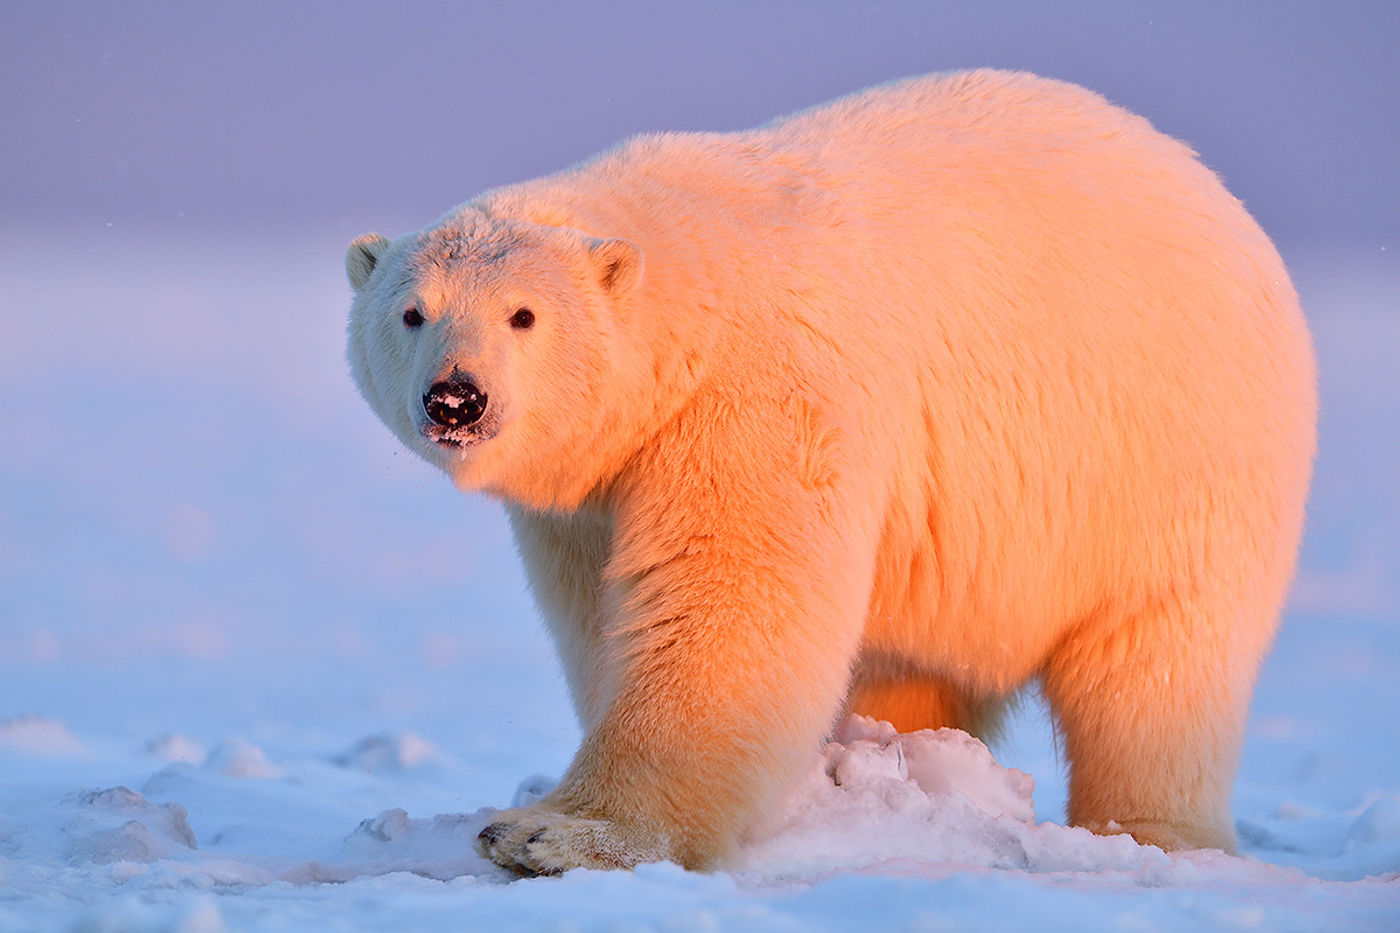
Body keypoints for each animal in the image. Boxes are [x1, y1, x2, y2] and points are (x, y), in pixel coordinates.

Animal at [344, 70, 1316, 874]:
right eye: (412, 311)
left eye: (524, 314)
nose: (456, 399)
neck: (694, 284)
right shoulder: (592, 490)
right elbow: (604, 614)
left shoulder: (763, 391)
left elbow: (727, 599)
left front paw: (551, 833)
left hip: (1173, 450)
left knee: (1159, 659)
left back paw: (1151, 835)